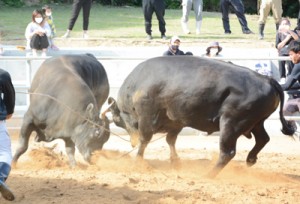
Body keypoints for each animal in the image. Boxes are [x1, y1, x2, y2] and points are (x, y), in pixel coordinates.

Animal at [108, 55, 296, 177]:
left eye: (117, 121)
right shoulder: (176, 122)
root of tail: (267, 79)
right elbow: (170, 140)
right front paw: (176, 162)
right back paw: (250, 159)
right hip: (256, 123)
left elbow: (145, 139)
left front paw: (137, 161)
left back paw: (208, 175)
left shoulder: (147, 117)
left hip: (230, 124)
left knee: (227, 152)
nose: (131, 142)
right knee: (263, 139)